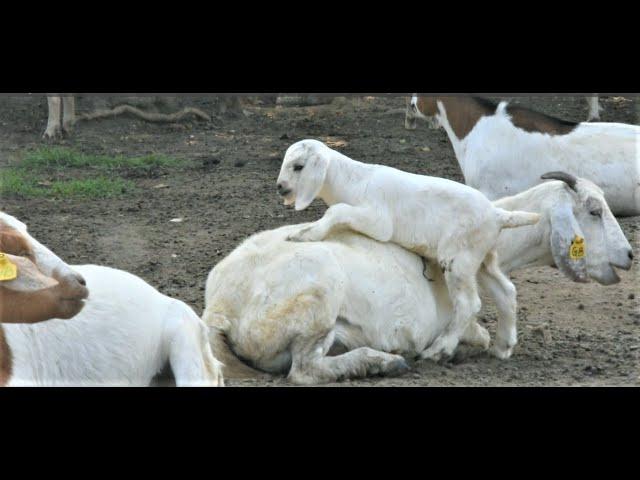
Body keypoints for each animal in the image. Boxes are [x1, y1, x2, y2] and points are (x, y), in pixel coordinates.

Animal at [204, 174, 632, 384]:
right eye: (594, 211)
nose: (629, 255)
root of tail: (220, 308)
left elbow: (481, 333)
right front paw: (443, 351)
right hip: (318, 299)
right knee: (304, 371)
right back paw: (381, 362)